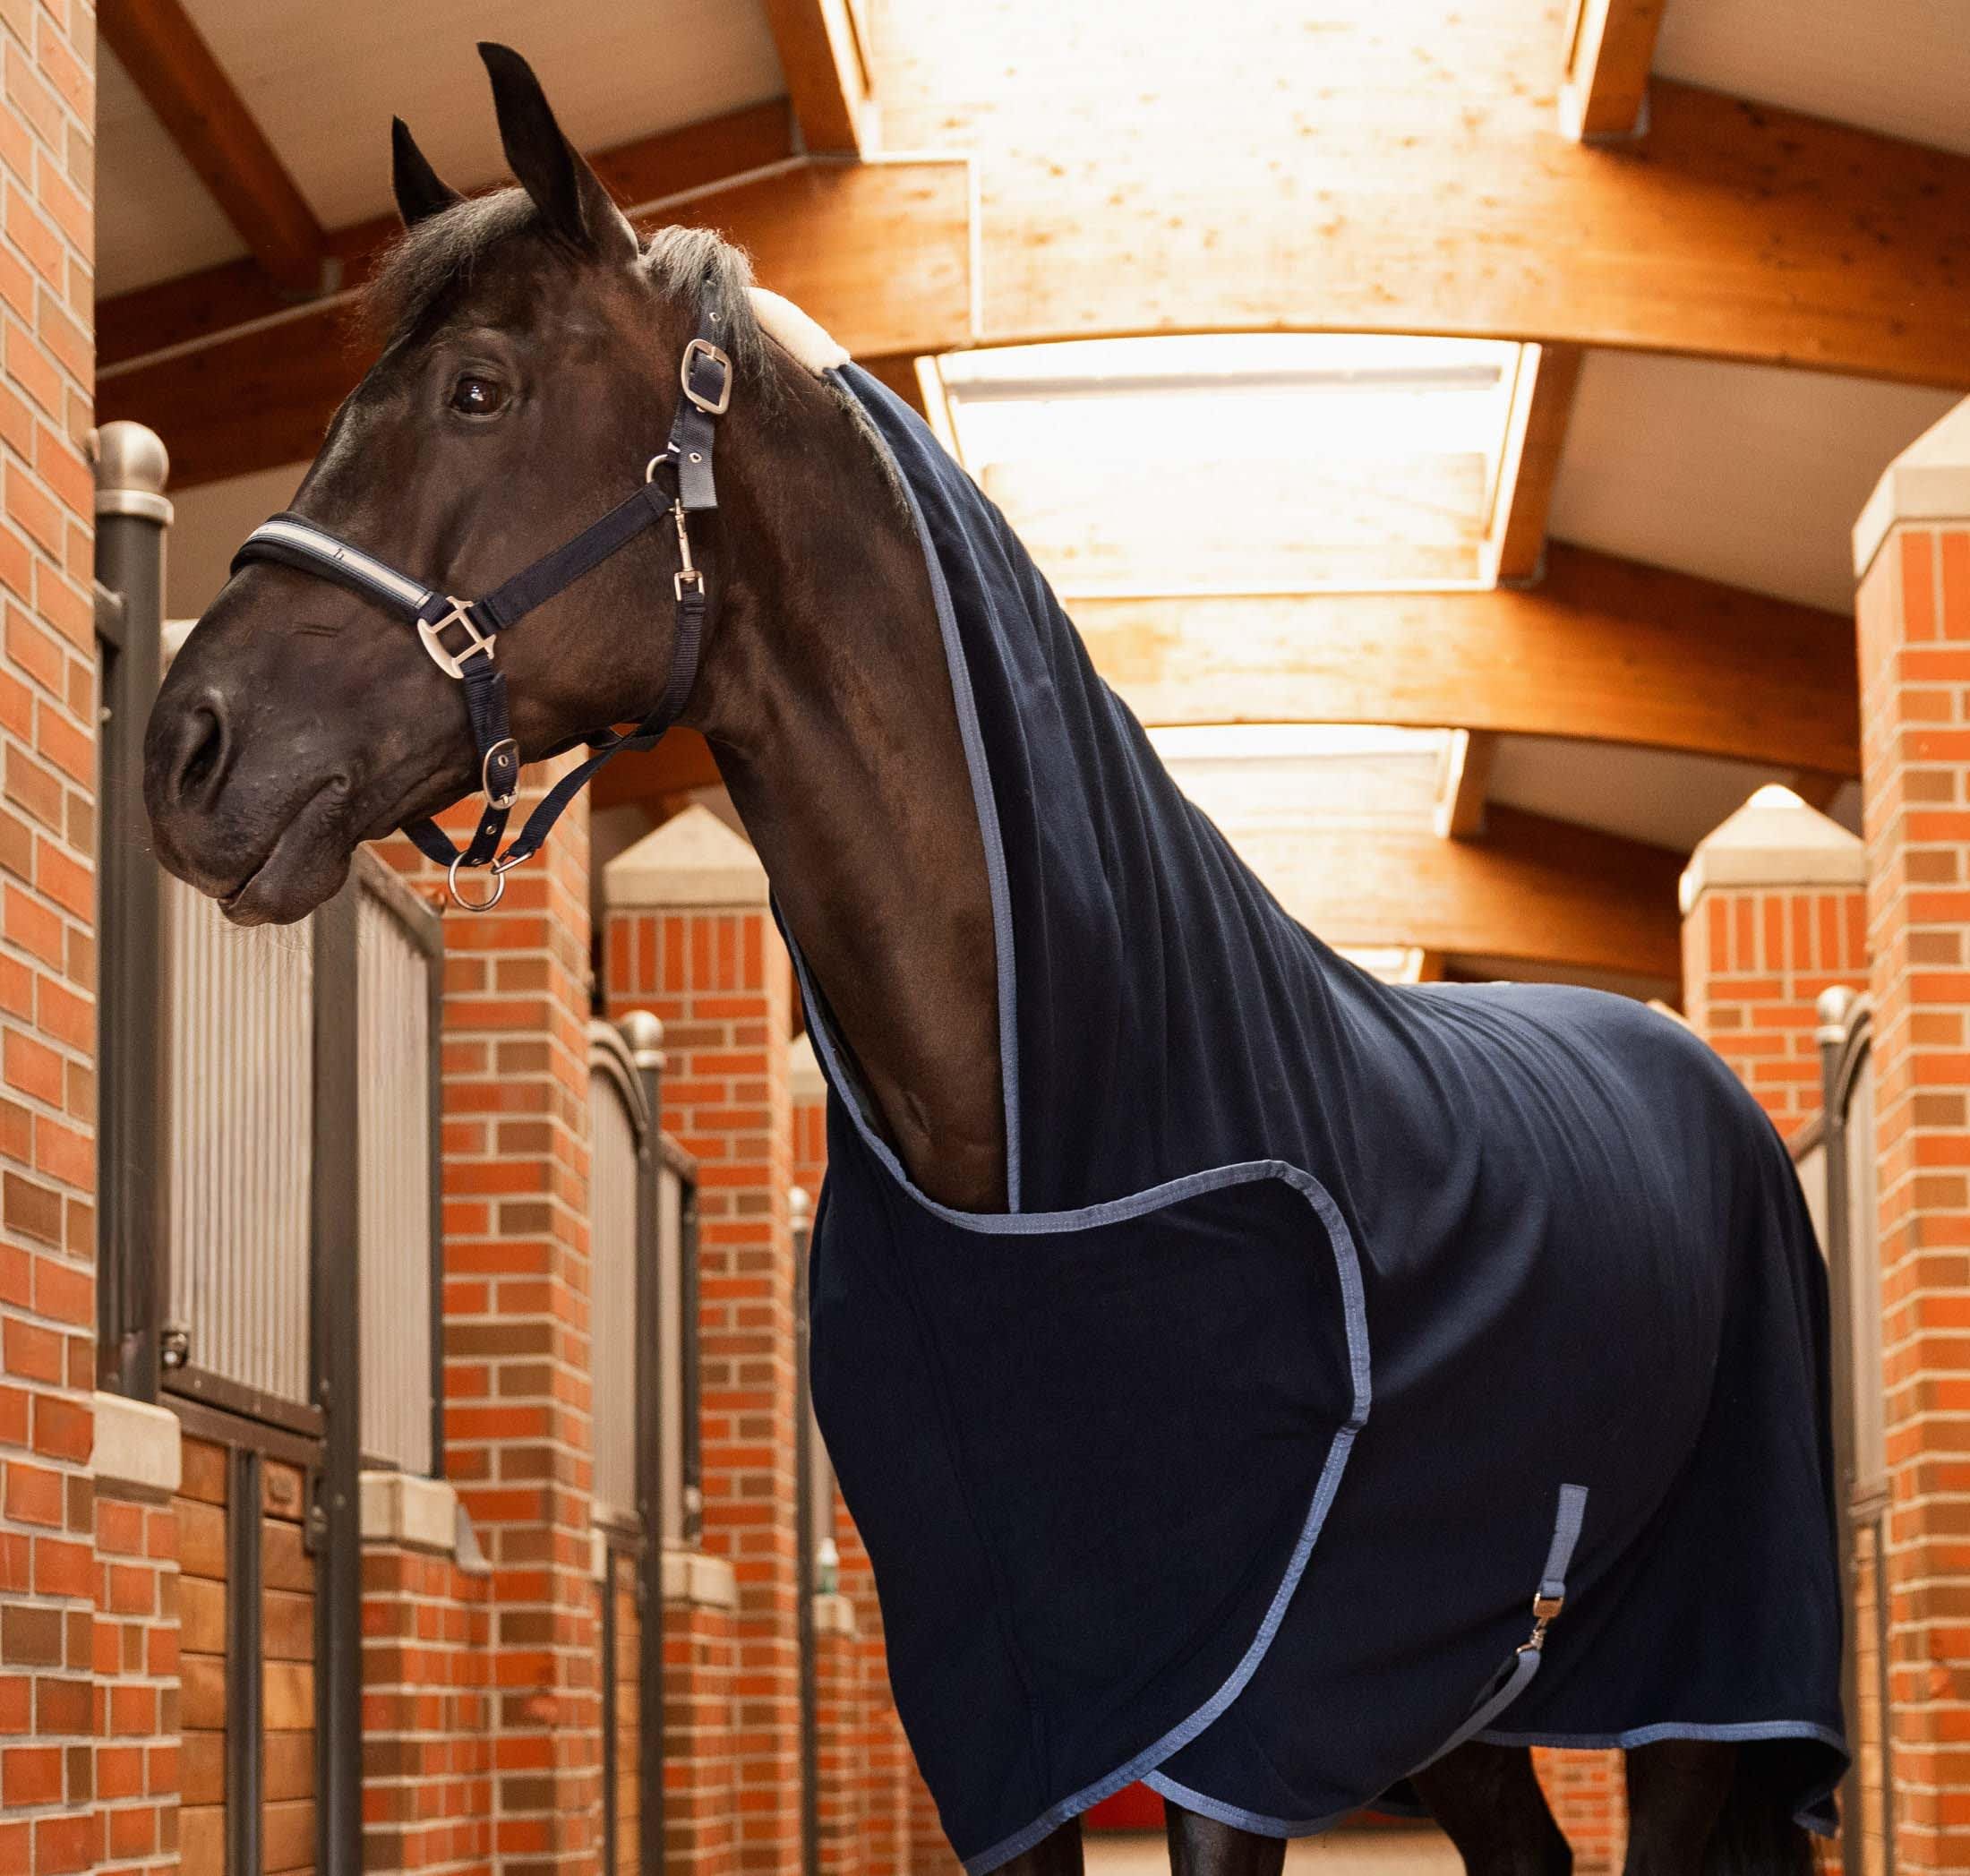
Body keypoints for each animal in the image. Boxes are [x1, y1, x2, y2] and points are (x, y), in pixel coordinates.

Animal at [143, 46, 1842, 1876]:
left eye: (477, 388)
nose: (185, 747)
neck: (1041, 1150)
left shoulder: (1232, 1724)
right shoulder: (1016, 1712)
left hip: (1693, 1686)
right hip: (1470, 1700)